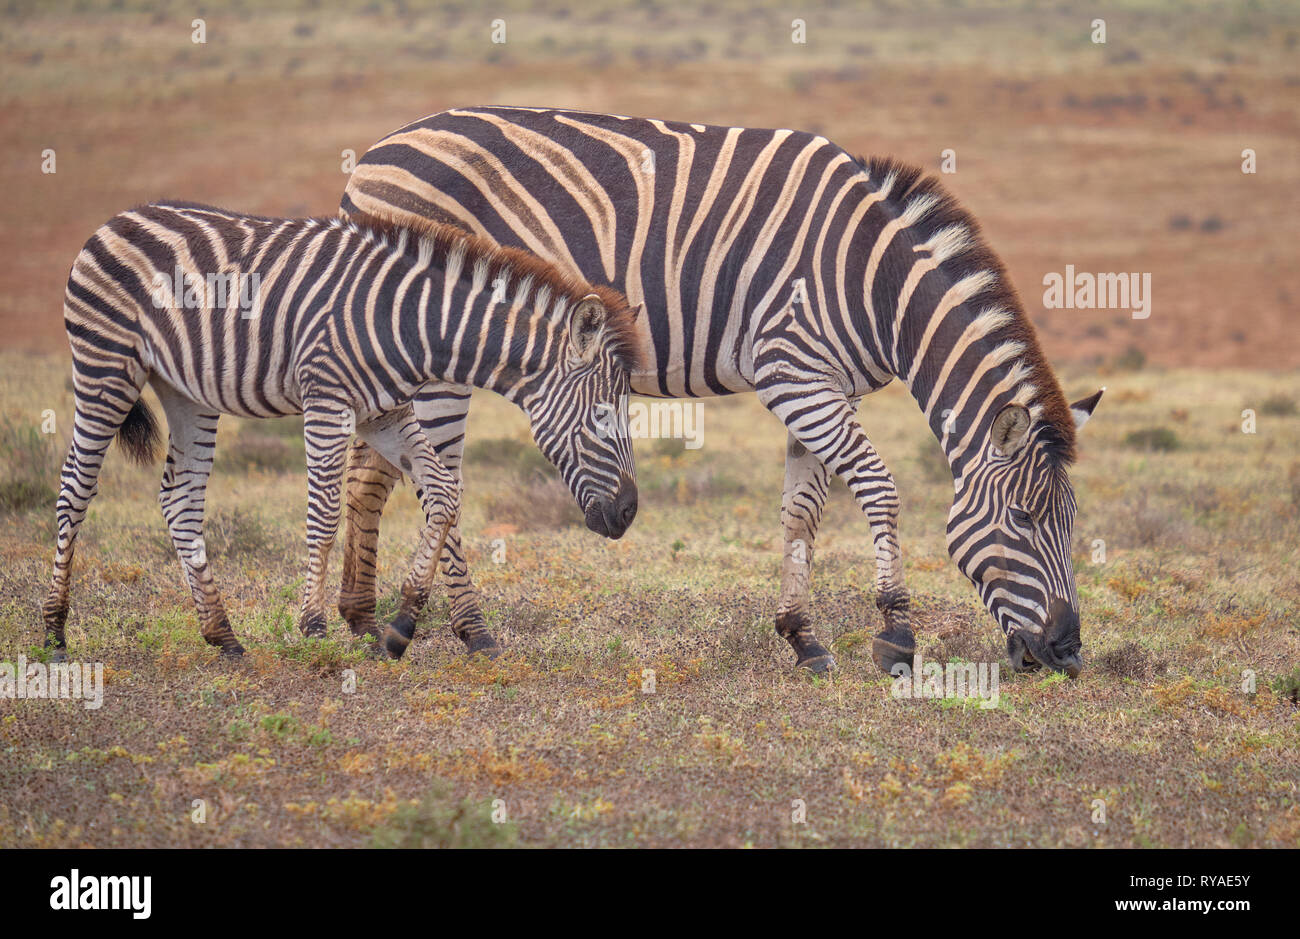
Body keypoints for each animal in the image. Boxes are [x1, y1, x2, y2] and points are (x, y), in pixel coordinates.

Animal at [43, 200, 642, 658]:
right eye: (603, 415)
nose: (629, 514)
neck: (411, 322)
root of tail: (114, 220)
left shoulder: (385, 413)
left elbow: (445, 493)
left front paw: (401, 627)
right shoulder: (327, 399)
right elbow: (325, 512)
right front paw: (312, 626)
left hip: (185, 391)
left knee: (180, 498)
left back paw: (223, 636)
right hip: (105, 369)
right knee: (75, 487)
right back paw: (54, 631)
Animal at [340, 105, 1102, 676]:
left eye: (1070, 525)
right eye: (1026, 520)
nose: (1067, 654)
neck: (878, 286)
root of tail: (376, 151)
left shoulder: (824, 386)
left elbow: (803, 510)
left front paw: (803, 637)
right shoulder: (793, 374)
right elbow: (879, 487)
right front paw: (895, 636)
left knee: (369, 472)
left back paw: (359, 619)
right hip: (434, 349)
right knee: (437, 484)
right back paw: (470, 632)